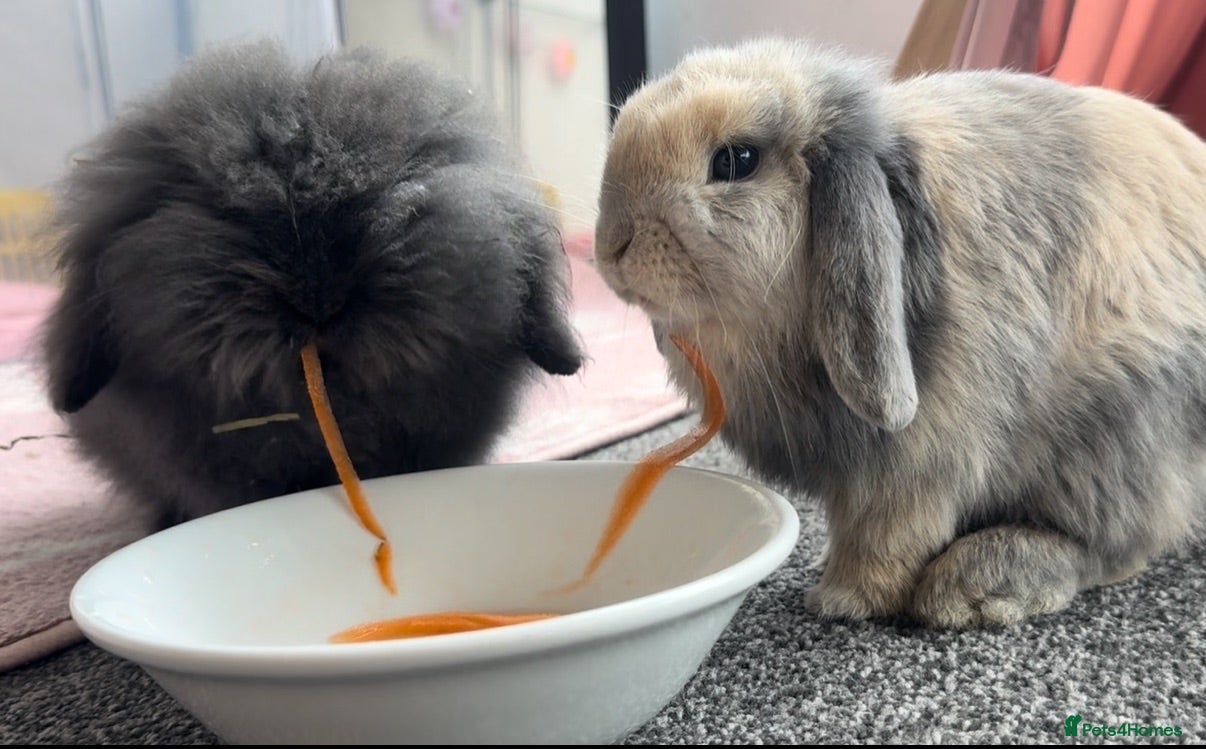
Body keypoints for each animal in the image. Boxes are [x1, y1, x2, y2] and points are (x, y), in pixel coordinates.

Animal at [592, 36, 1206, 629]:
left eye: (736, 160)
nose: (611, 245)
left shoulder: (919, 459)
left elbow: (890, 530)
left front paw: (844, 599)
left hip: (1114, 428)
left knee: (1113, 545)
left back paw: (973, 589)